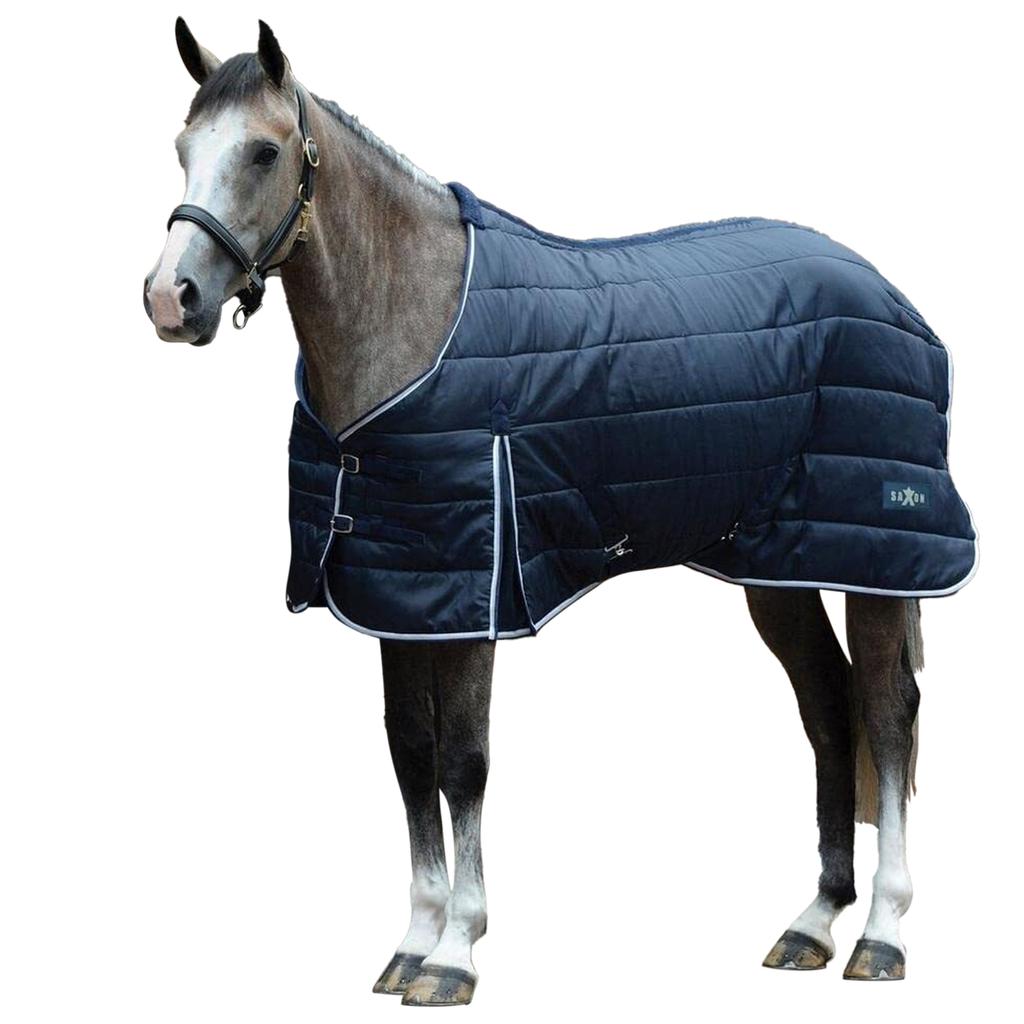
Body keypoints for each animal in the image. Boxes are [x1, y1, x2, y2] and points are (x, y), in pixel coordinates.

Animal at [144, 19, 974, 1004]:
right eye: (183, 149)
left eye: (265, 151)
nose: (170, 298)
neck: (414, 327)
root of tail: (890, 294)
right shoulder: (401, 595)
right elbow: (410, 754)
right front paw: (412, 942)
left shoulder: (475, 599)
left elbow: (464, 761)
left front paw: (455, 953)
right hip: (781, 567)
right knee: (828, 708)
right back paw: (812, 922)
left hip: (877, 560)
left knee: (886, 715)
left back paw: (880, 933)